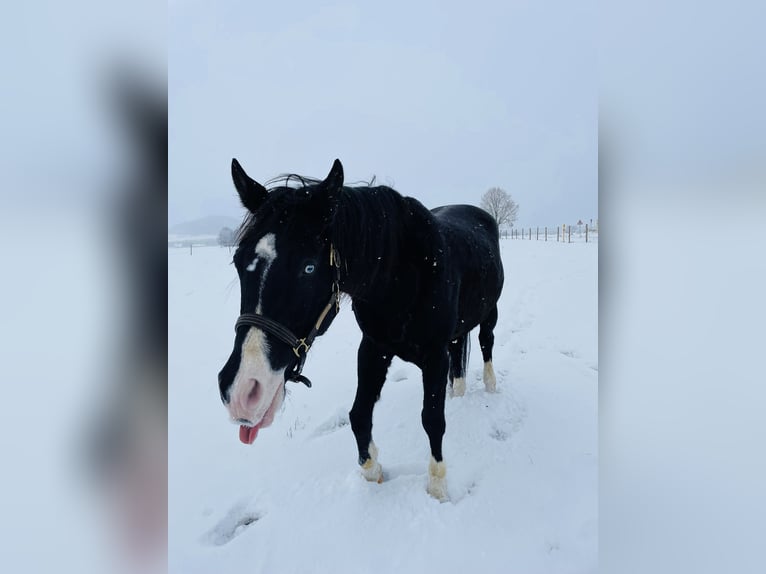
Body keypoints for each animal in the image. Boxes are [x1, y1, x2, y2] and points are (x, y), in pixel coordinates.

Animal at [218, 160, 504, 502]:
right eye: (238, 261)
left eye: (309, 267)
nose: (242, 391)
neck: (401, 275)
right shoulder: (373, 347)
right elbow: (359, 415)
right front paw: (373, 472)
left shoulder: (434, 355)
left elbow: (433, 419)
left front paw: (437, 489)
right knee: (460, 348)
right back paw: (458, 392)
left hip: (490, 313)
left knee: (486, 344)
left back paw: (490, 386)